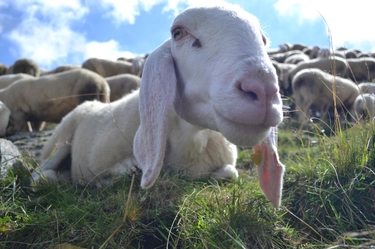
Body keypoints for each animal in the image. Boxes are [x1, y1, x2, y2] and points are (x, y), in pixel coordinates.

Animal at [30, 3, 286, 208]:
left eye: (264, 40)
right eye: (178, 33)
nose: (263, 90)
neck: (192, 137)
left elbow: (229, 173)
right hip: (60, 139)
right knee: (38, 173)